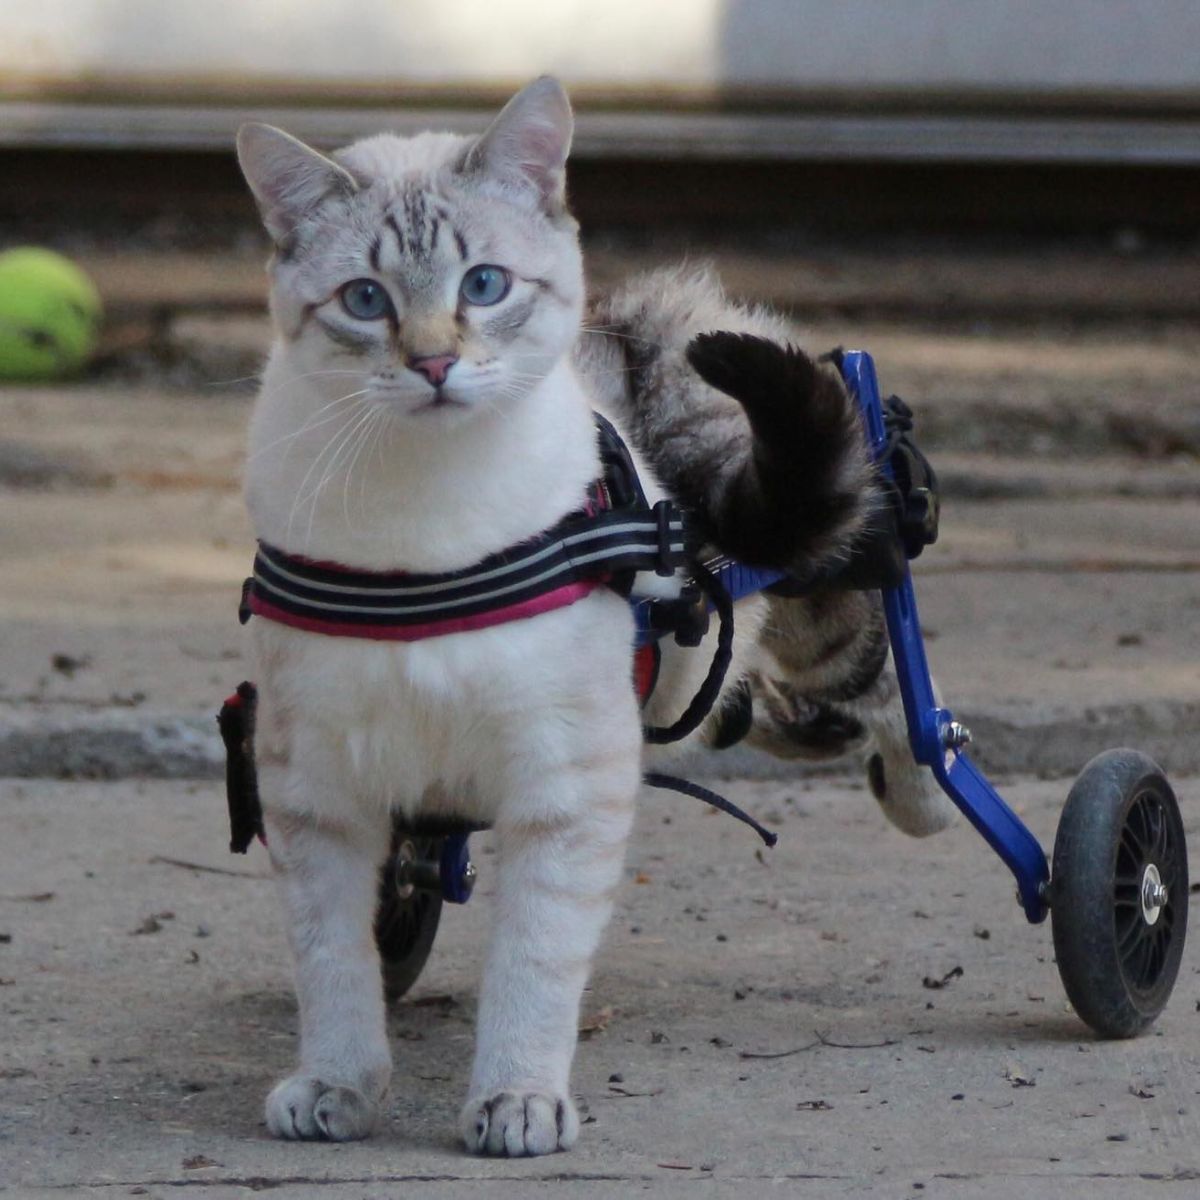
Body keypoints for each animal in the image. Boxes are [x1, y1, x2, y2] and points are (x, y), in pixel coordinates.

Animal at [231, 72, 945, 1152]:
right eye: (365, 299)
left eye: (484, 285)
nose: (434, 364)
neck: (423, 523)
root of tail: (635, 323)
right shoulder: (315, 781)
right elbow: (332, 958)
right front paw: (338, 1082)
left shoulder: (568, 774)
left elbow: (534, 959)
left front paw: (517, 1097)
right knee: (744, 703)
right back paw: (791, 727)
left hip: (812, 567)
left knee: (890, 688)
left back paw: (919, 787)